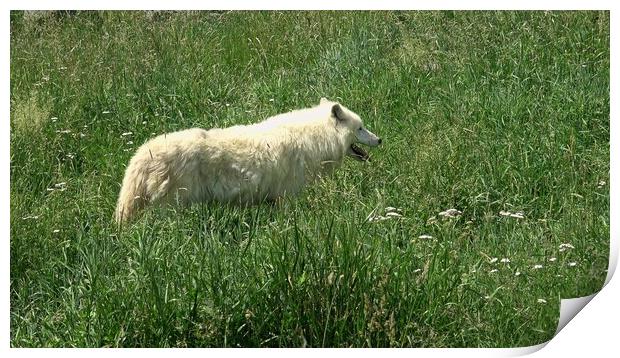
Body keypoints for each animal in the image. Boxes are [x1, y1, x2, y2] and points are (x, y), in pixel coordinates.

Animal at [114, 97, 380, 221]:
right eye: (360, 128)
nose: (379, 140)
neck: (314, 137)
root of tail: (139, 156)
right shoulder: (287, 196)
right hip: (171, 207)